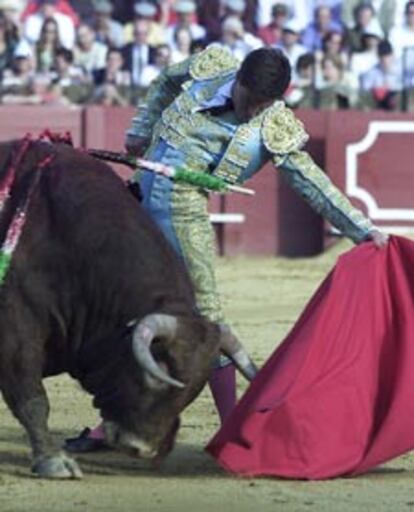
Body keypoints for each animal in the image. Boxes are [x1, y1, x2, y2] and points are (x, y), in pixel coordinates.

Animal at [0, 140, 256, 480]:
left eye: (195, 388)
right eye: (157, 372)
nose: (140, 447)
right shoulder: (16, 329)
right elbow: (32, 397)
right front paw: (53, 461)